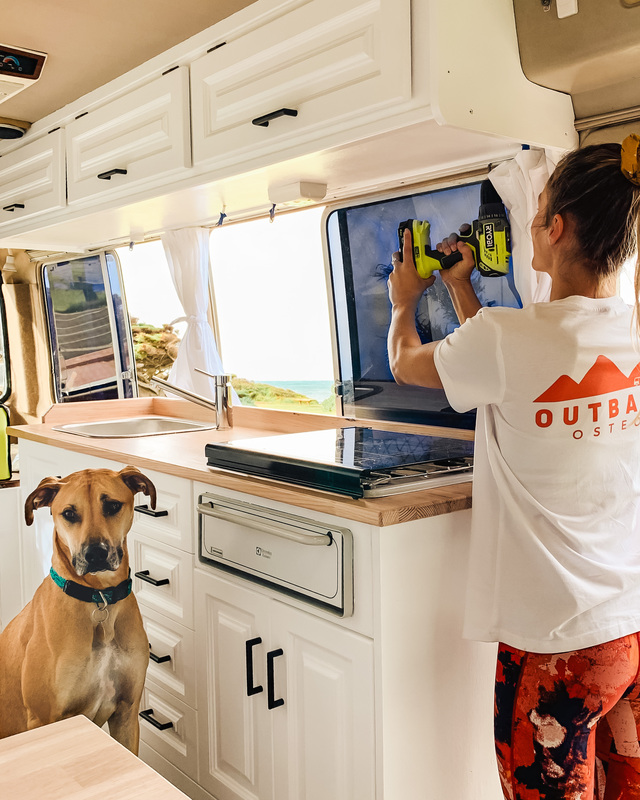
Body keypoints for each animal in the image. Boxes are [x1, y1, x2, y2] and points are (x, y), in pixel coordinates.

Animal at [0, 466, 154, 752]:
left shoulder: (127, 714)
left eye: (113, 505)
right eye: (69, 514)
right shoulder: (44, 720)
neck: (99, 596)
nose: (95, 554)